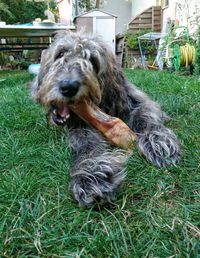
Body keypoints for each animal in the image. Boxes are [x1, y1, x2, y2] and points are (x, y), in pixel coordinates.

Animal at [30, 30, 180, 207]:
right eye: (60, 53)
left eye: (92, 61)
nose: (68, 87)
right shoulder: (79, 124)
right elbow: (85, 141)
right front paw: (91, 173)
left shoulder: (138, 101)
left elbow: (143, 115)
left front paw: (157, 139)